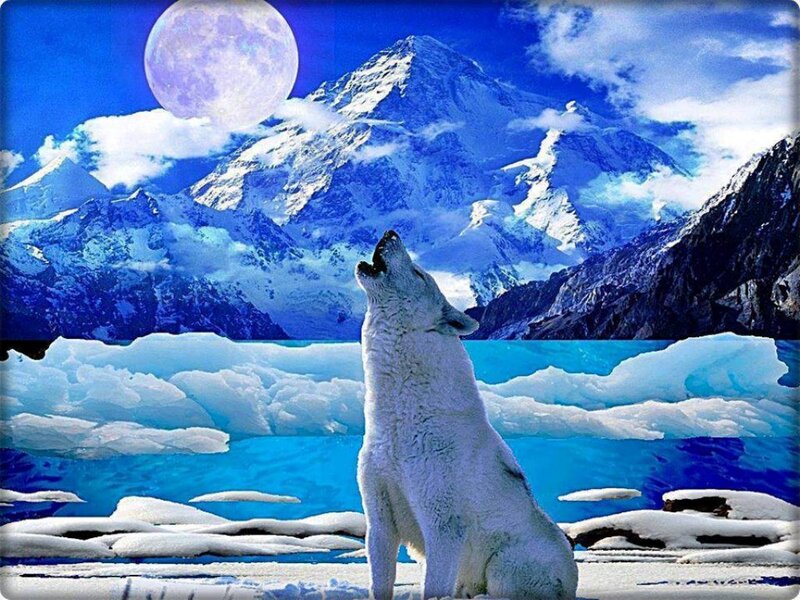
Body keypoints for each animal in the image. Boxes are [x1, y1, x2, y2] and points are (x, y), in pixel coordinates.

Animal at [355, 230, 578, 600]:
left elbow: (433, 587)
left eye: (418, 273)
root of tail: (572, 583)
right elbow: (379, 582)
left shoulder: (443, 525)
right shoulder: (379, 518)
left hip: (505, 565)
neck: (402, 421)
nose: (390, 232)